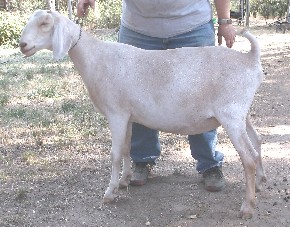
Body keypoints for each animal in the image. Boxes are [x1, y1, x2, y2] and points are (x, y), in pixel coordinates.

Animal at [19, 9, 266, 219]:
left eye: (44, 23)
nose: (23, 45)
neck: (96, 58)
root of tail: (251, 59)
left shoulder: (116, 113)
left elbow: (115, 154)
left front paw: (110, 193)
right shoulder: (128, 116)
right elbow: (127, 149)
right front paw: (125, 180)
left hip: (231, 114)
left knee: (248, 158)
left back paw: (247, 207)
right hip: (241, 113)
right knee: (257, 142)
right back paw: (260, 182)